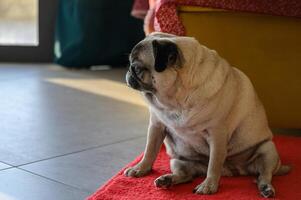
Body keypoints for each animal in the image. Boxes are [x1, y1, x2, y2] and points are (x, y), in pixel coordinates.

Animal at [123, 32, 290, 198]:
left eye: (137, 68)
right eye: (131, 64)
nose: (129, 70)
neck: (177, 100)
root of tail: (232, 172)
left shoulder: (217, 134)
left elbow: (214, 164)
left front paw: (208, 185)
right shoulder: (157, 126)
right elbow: (150, 151)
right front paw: (141, 168)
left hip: (268, 150)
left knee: (263, 175)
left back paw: (266, 188)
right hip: (177, 160)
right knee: (186, 176)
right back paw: (168, 179)